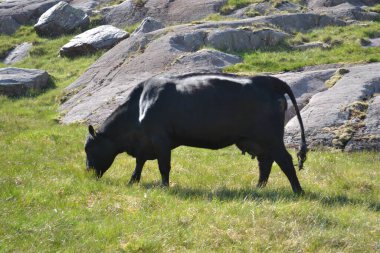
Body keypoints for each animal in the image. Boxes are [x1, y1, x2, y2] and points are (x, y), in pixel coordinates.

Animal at [84, 73, 308, 194]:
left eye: (88, 149)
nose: (87, 172)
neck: (140, 105)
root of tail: (269, 81)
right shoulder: (145, 143)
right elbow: (139, 164)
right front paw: (132, 182)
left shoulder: (159, 140)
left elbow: (164, 166)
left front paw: (165, 187)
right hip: (257, 141)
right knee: (266, 163)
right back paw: (258, 188)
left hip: (271, 138)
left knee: (285, 161)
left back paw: (298, 191)